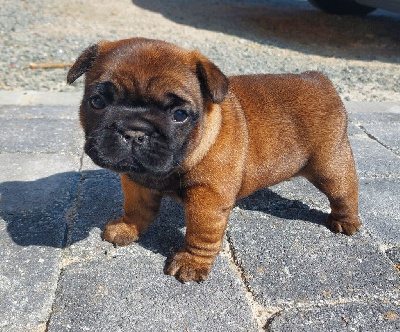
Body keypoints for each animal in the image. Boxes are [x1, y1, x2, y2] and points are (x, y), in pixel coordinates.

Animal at [67, 39, 360, 282]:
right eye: (96, 101)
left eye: (180, 114)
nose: (134, 131)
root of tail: (318, 79)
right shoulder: (136, 181)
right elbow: (136, 208)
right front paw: (127, 228)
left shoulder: (207, 198)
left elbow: (200, 232)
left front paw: (191, 262)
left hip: (329, 164)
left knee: (344, 192)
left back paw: (345, 222)